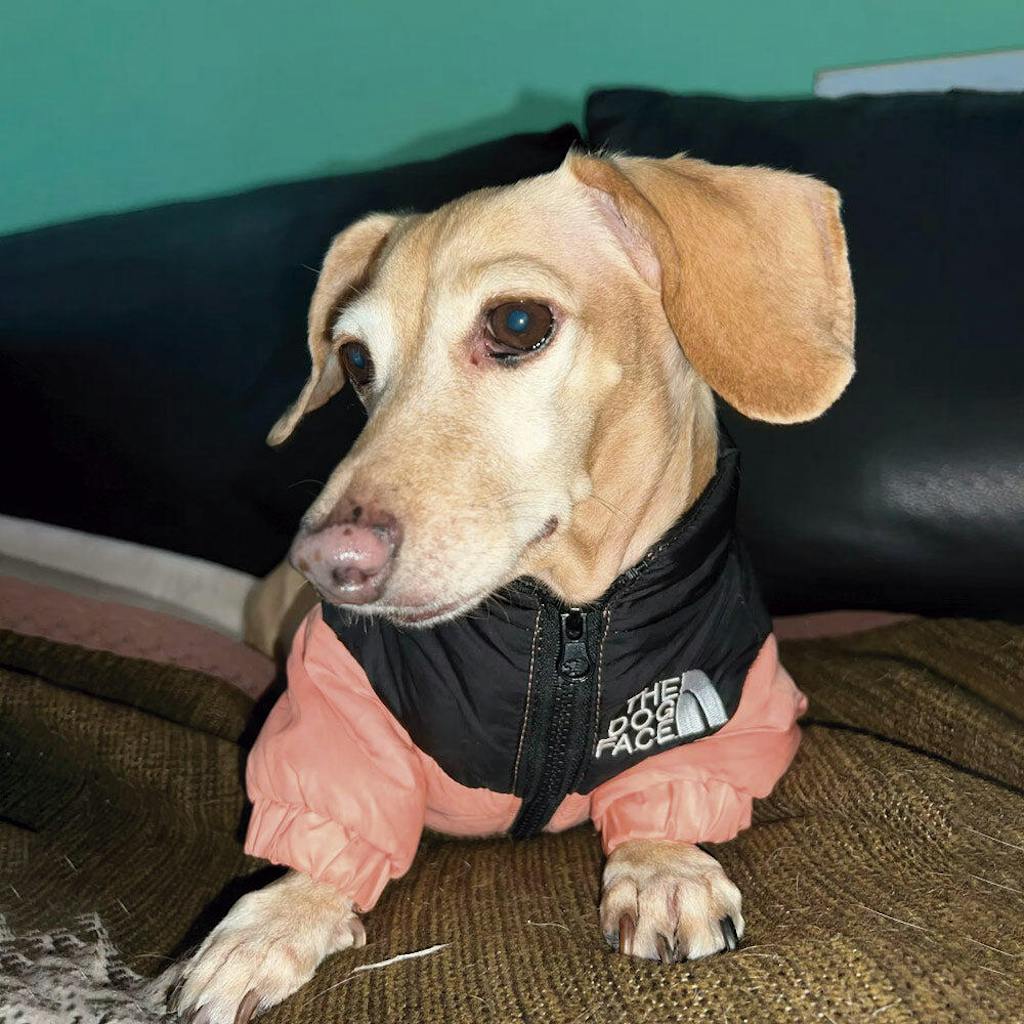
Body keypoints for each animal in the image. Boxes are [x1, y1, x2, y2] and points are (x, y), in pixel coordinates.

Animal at [161, 150, 854, 1023]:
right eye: (355, 361)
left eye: (517, 323)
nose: (323, 563)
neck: (570, 616)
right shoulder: (338, 695)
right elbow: (334, 808)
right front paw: (280, 915)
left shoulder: (732, 693)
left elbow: (672, 783)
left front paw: (662, 867)